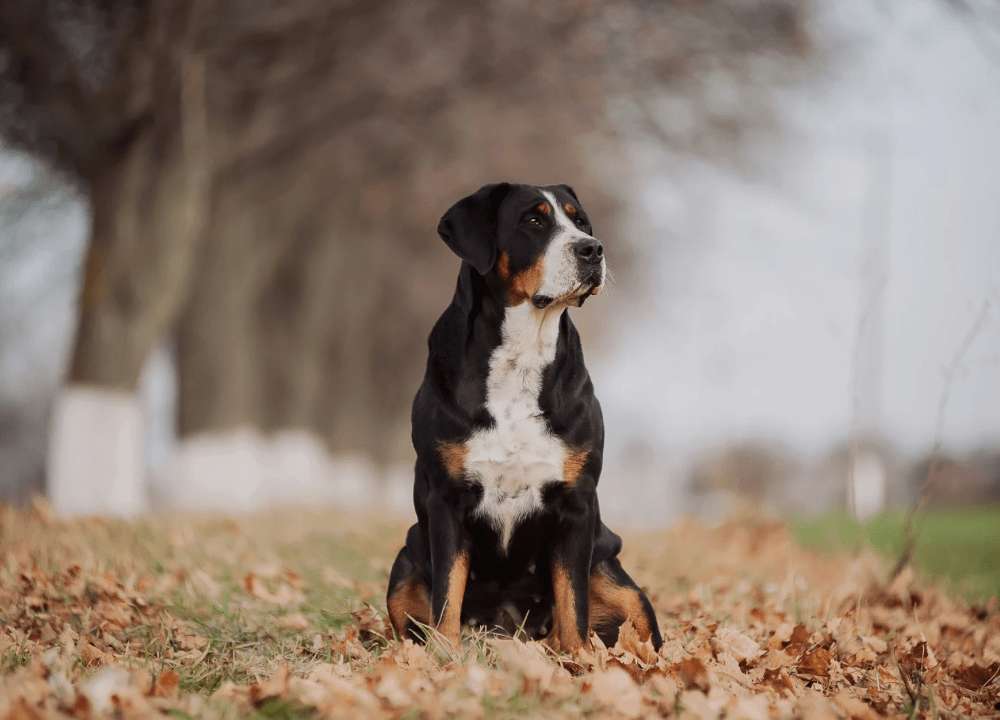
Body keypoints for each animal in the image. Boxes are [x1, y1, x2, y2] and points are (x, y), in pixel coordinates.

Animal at [386, 181, 660, 652]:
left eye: (580, 221)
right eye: (534, 221)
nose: (592, 249)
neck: (523, 353)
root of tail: (509, 628)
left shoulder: (576, 503)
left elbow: (572, 603)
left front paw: (578, 659)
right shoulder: (446, 499)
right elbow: (448, 596)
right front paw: (445, 656)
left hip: (617, 576)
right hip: (405, 561)